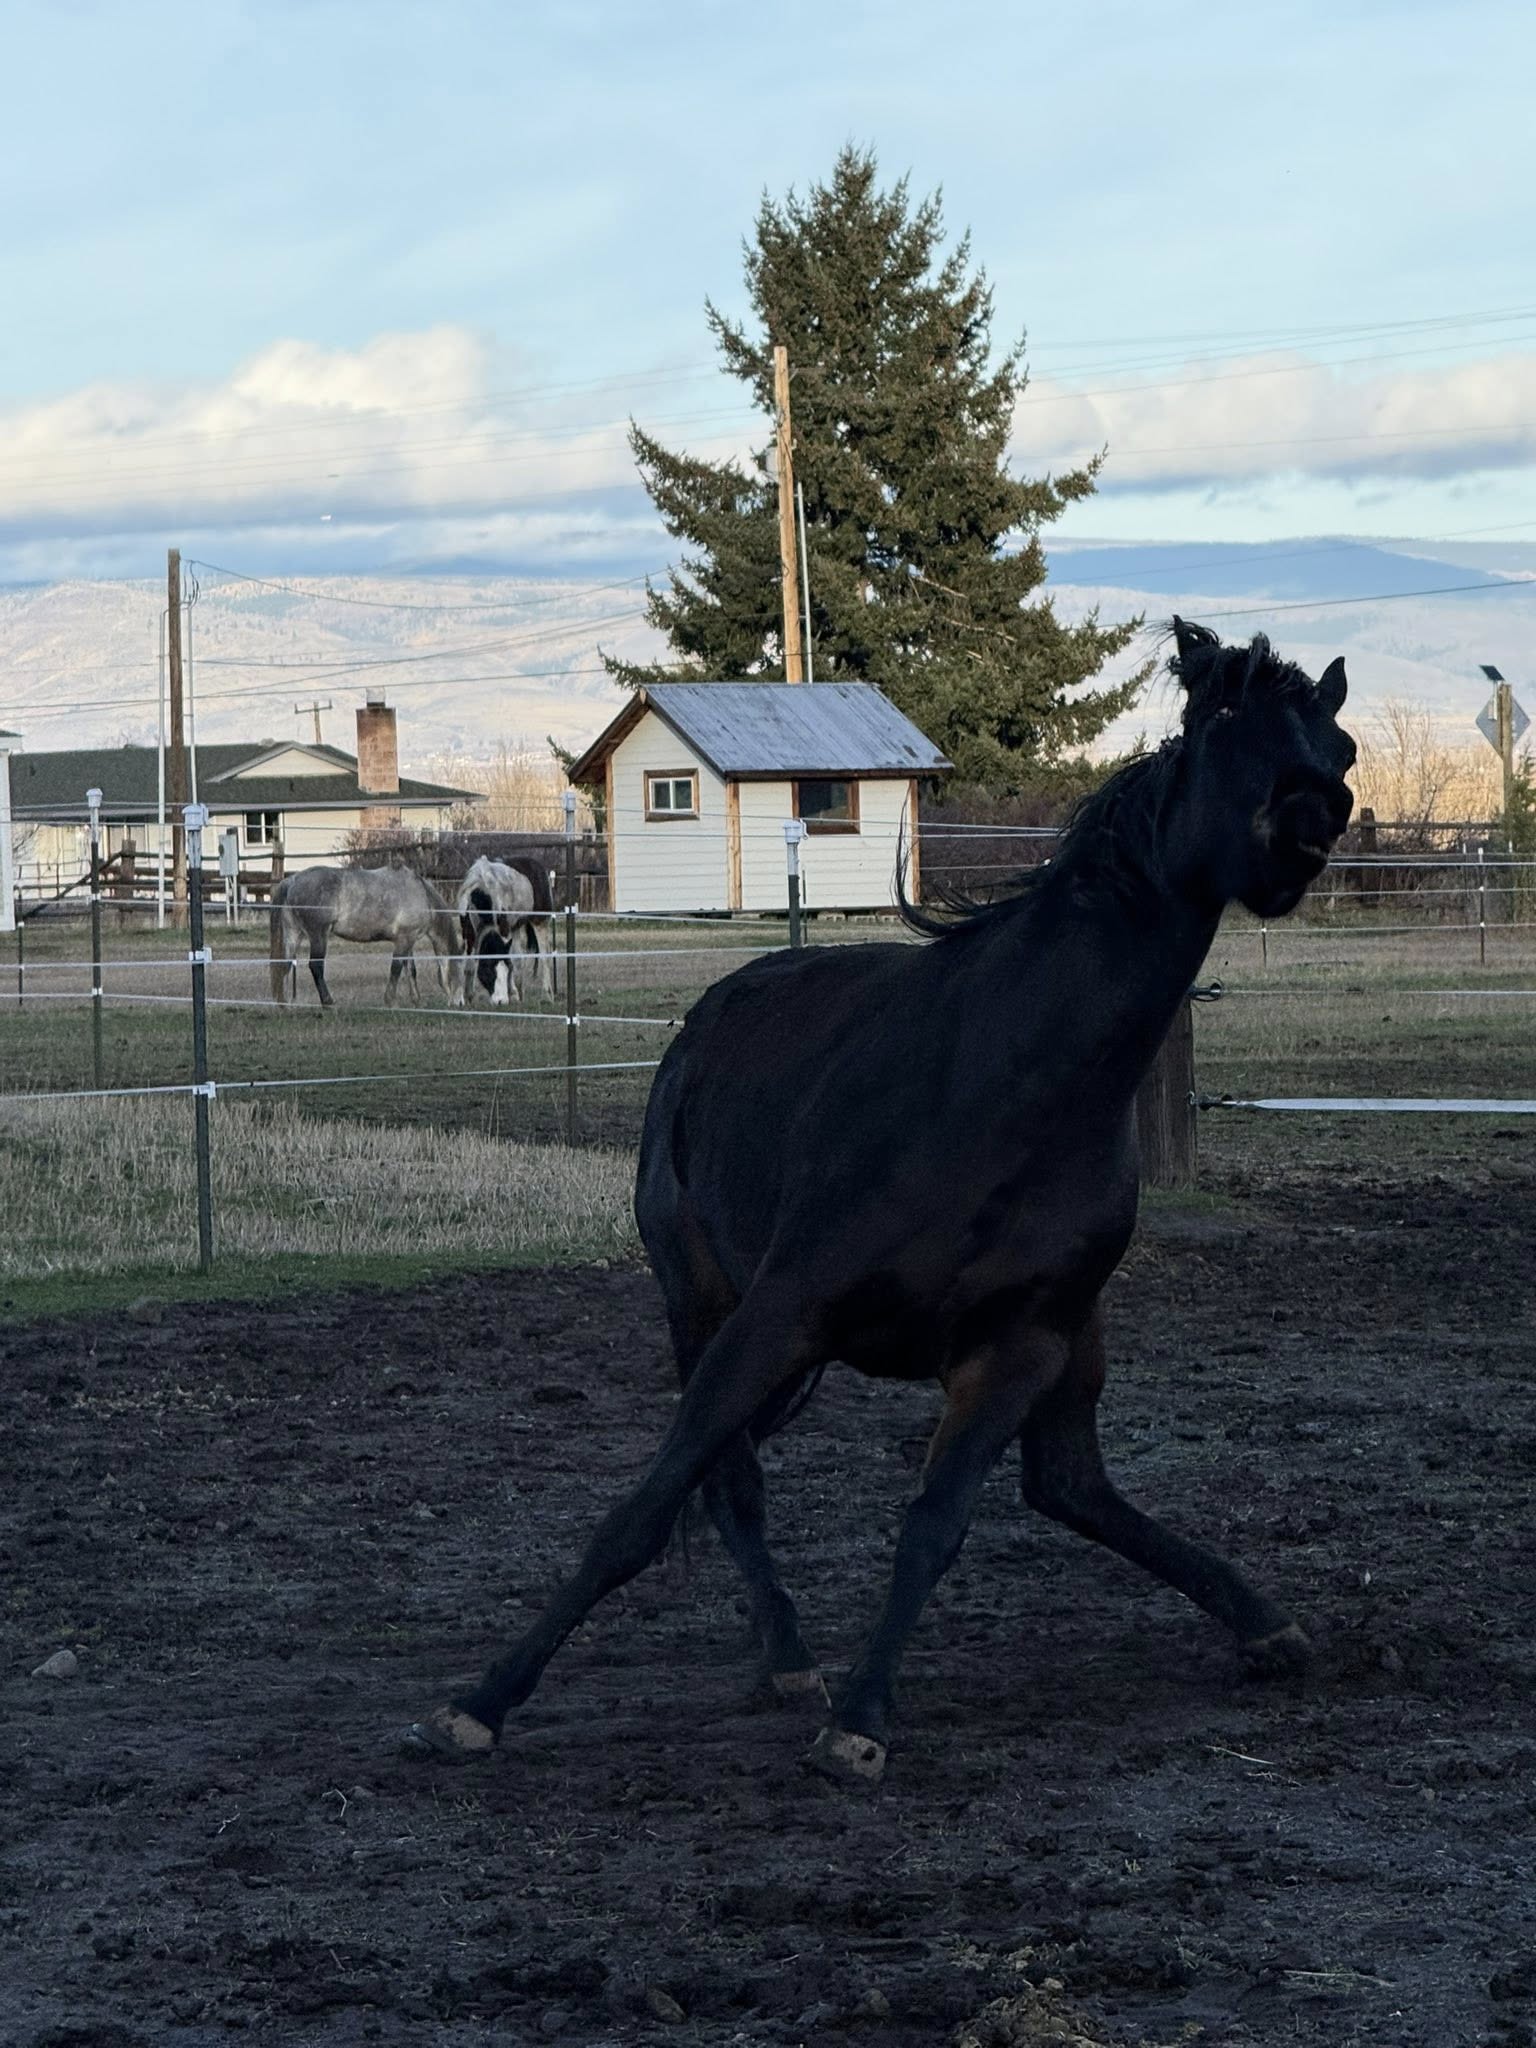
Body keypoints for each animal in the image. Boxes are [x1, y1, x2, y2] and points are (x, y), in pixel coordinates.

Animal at [269, 865, 466, 1008]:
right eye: (462, 972)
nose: (460, 1003)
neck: (421, 894)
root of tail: (292, 880)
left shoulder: (408, 941)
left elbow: (411, 970)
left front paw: (417, 1001)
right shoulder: (403, 940)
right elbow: (396, 968)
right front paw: (390, 1001)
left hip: (294, 934)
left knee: (285, 965)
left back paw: (284, 1005)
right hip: (318, 936)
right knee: (316, 966)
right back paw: (328, 1002)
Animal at [456, 855, 556, 1005]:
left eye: (505, 969)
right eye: (487, 970)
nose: (501, 1001)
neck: (481, 893)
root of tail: (536, 864)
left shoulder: (503, 929)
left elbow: (510, 960)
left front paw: (511, 992)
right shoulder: (470, 932)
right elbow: (470, 964)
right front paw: (467, 997)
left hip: (540, 922)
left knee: (545, 958)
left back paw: (547, 995)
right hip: (515, 927)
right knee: (520, 960)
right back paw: (520, 995)